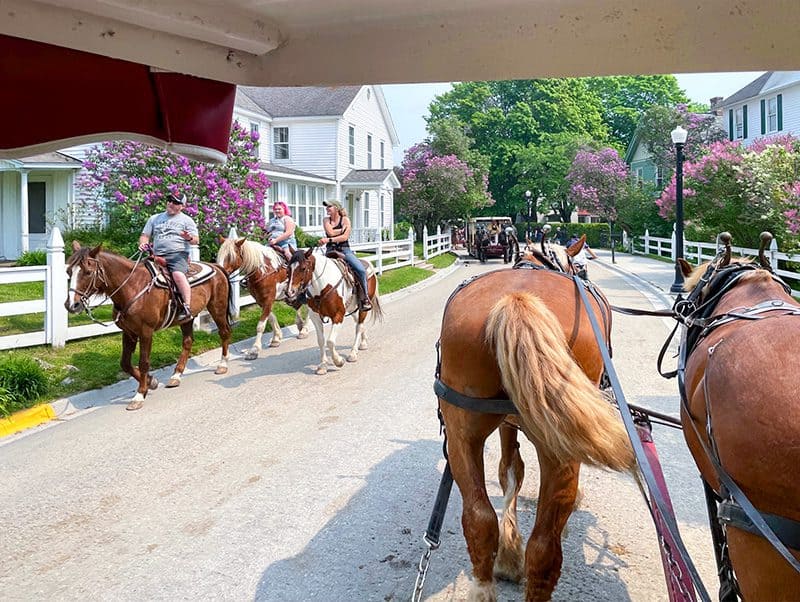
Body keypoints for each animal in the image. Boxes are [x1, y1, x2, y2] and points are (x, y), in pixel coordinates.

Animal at [65, 241, 231, 410]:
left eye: (88, 272)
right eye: (68, 271)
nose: (71, 305)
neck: (132, 287)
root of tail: (216, 266)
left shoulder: (146, 332)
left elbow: (144, 362)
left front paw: (139, 395)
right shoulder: (129, 332)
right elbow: (125, 363)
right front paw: (151, 382)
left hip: (217, 308)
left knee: (224, 333)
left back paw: (222, 365)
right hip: (187, 319)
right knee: (188, 342)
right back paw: (176, 375)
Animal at [434, 244, 636, 600]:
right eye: (578, 266)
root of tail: (516, 298)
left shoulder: (505, 423)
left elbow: (509, 472)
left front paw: (507, 556)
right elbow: (513, 472)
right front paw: (511, 557)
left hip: (461, 429)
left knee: (479, 519)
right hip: (561, 446)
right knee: (544, 548)